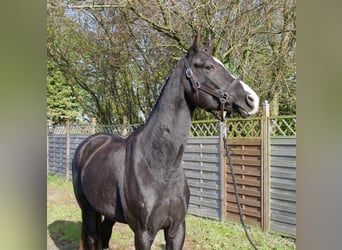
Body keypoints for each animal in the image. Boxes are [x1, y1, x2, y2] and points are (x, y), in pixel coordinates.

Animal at [72, 31, 260, 250]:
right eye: (208, 66)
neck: (160, 167)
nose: (252, 100)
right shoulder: (144, 233)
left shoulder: (177, 229)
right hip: (87, 209)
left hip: (108, 212)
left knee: (105, 233)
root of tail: (89, 144)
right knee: (93, 236)